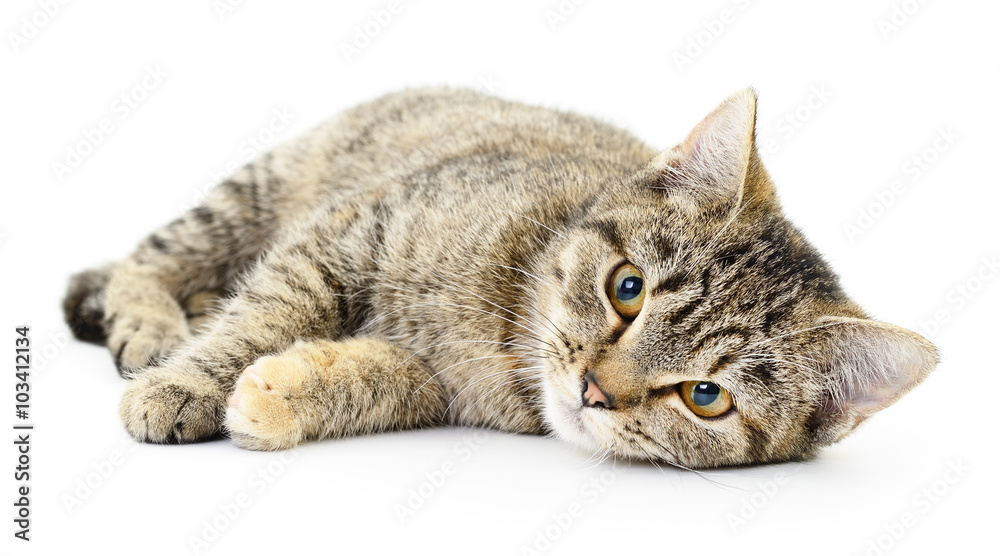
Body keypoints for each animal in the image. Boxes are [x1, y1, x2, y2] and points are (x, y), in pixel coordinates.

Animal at [62, 88, 936, 470]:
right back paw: (152, 326)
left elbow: (368, 378)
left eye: (705, 397)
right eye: (627, 288)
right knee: (152, 258)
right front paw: (187, 383)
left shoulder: (428, 382)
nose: (593, 390)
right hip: (256, 193)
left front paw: (279, 395)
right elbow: (267, 311)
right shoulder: (352, 230)